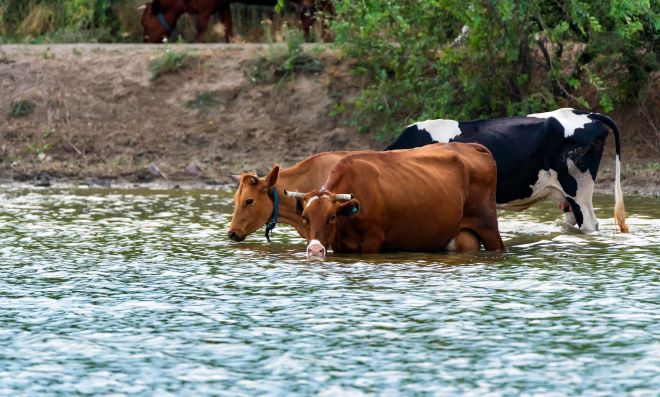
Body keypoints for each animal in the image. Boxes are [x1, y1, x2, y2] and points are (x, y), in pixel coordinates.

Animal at [286, 142, 508, 256]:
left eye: (331, 217)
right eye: (305, 218)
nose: (315, 250)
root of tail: (472, 146)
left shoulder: (372, 241)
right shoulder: (340, 244)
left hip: (488, 226)